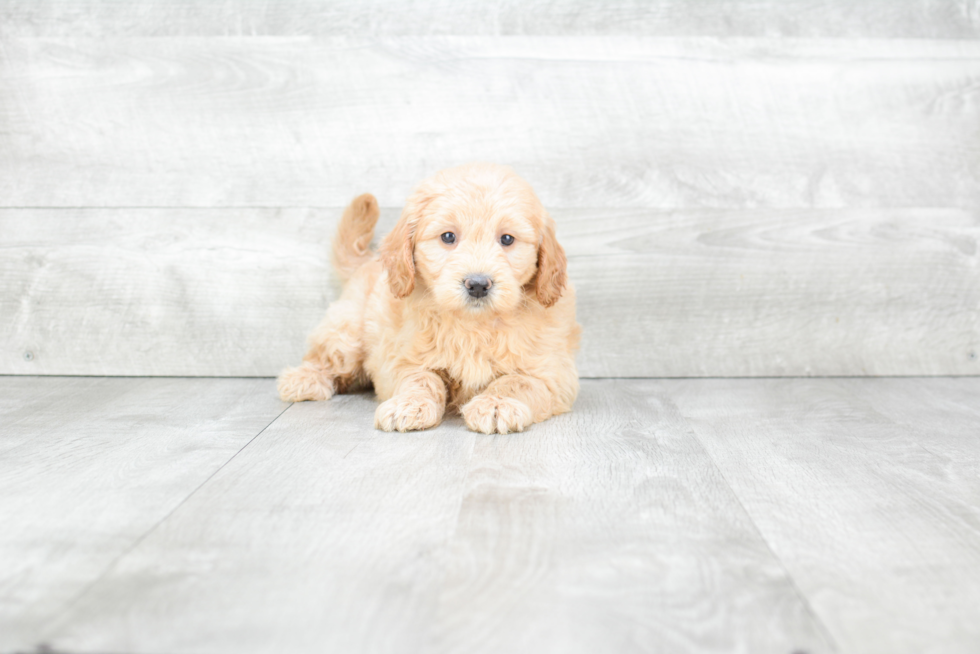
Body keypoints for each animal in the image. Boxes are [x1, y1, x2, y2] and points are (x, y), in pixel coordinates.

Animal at [278, 163, 580, 436]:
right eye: (448, 236)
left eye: (507, 239)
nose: (478, 285)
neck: (474, 323)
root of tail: (367, 261)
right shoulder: (401, 358)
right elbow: (421, 378)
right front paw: (408, 405)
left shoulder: (553, 373)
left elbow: (517, 382)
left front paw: (496, 404)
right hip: (347, 331)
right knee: (325, 357)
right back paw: (305, 378)